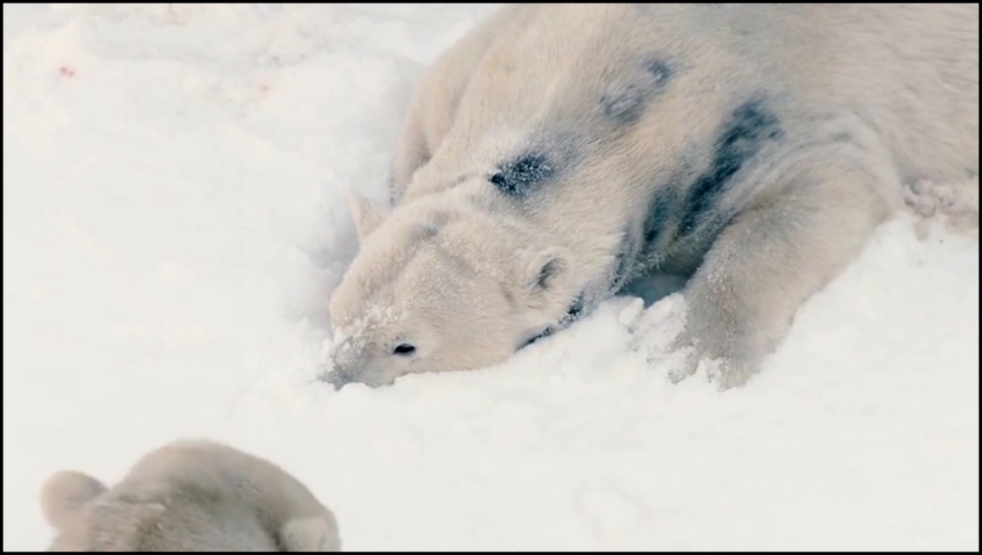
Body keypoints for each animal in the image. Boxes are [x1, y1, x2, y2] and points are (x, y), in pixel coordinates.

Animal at [326, 4, 980, 388]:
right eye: (336, 316)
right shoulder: (486, 55)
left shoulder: (745, 124)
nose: (334, 378)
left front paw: (686, 356)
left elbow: (825, 186)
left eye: (405, 345)